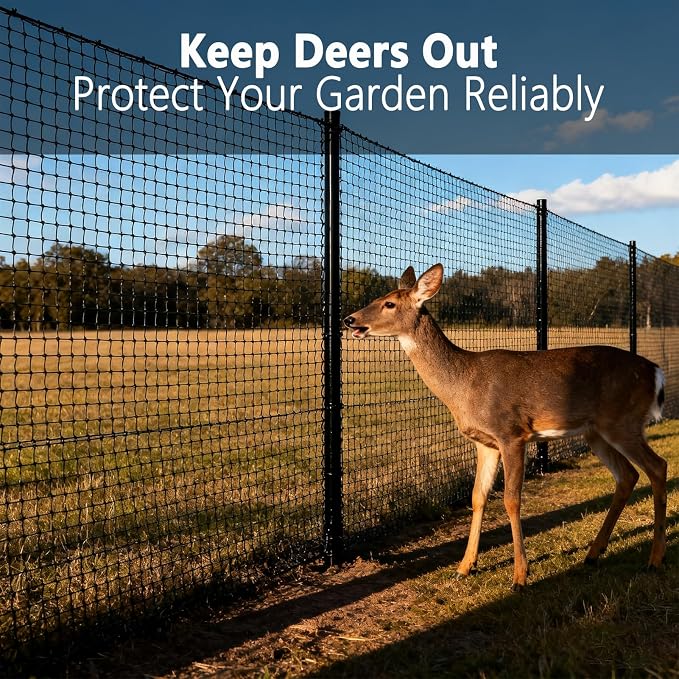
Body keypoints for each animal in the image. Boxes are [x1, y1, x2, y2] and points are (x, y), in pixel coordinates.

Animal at [344, 263, 667, 591]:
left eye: (389, 303)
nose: (349, 319)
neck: (464, 385)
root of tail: (656, 372)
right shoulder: (485, 442)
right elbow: (478, 496)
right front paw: (464, 567)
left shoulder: (511, 433)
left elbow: (511, 499)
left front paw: (520, 576)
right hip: (596, 431)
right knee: (628, 475)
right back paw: (593, 554)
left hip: (622, 422)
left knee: (657, 466)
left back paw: (653, 560)